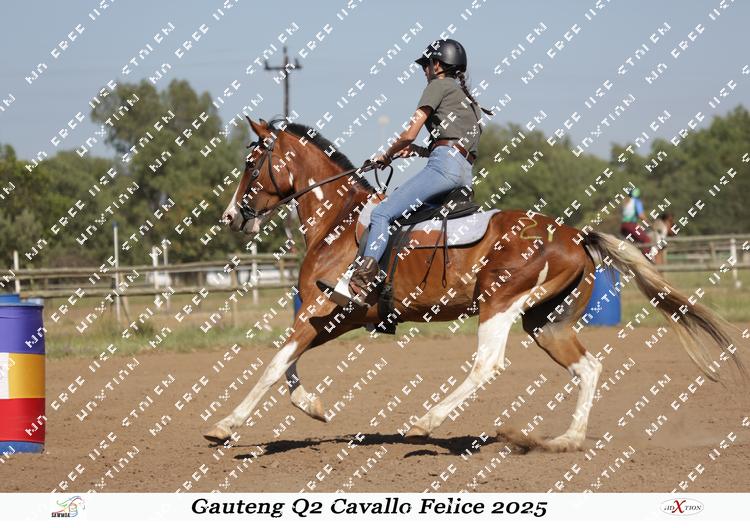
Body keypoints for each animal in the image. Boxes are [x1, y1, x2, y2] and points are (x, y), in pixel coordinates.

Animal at [205, 117, 745, 452]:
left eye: (251, 164)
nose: (231, 216)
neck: (340, 220)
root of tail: (573, 234)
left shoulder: (321, 309)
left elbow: (274, 364)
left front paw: (226, 426)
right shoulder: (335, 316)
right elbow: (289, 365)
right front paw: (313, 408)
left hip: (500, 303)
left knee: (487, 364)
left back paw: (427, 422)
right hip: (546, 322)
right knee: (588, 368)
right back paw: (565, 440)